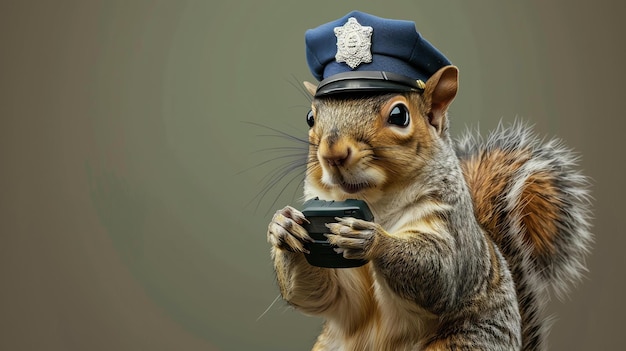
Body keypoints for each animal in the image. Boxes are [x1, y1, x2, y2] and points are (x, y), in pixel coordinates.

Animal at [266, 11, 592, 351]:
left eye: (399, 115)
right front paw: (283, 226)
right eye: (310, 118)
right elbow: (319, 294)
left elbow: (440, 275)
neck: (373, 202)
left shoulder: (453, 231)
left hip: (462, 342)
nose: (332, 153)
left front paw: (372, 239)